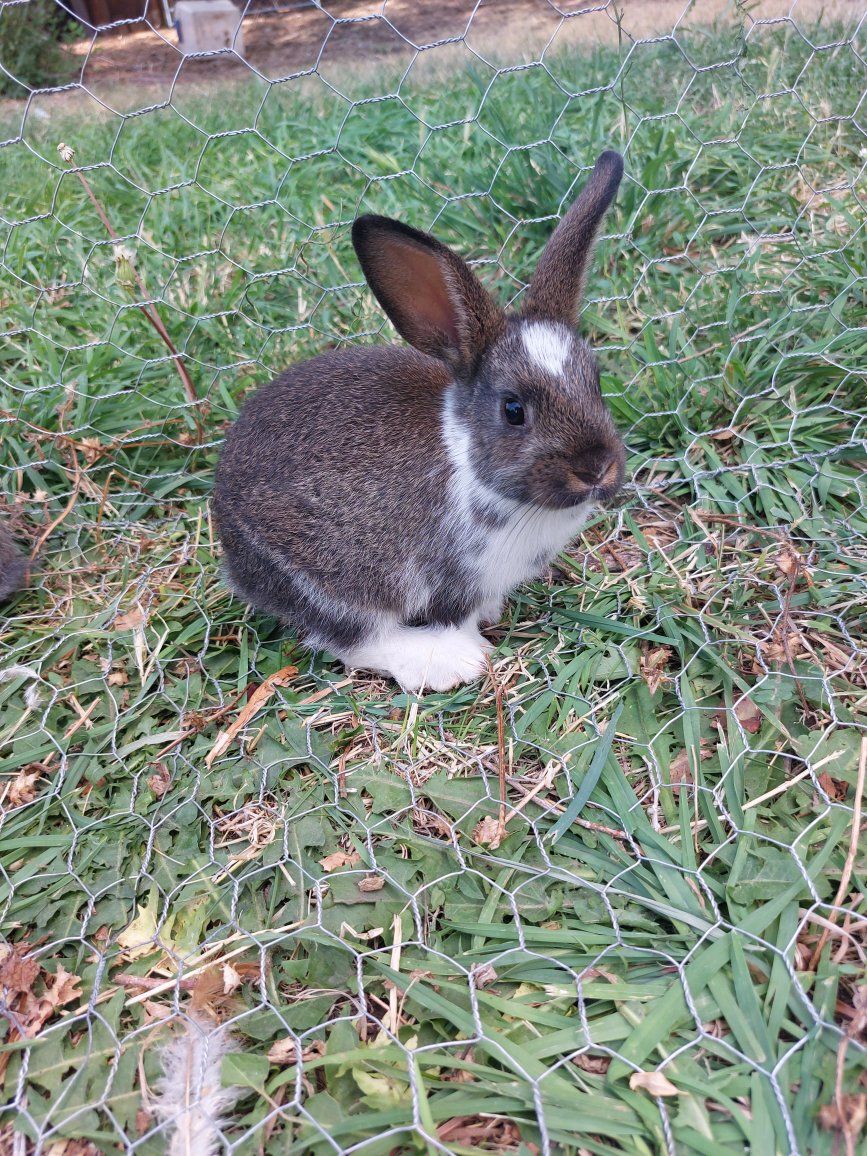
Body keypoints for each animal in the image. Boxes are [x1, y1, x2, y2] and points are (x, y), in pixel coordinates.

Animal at [214, 150, 626, 693]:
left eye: (596, 381)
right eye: (513, 410)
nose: (597, 467)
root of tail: (227, 534)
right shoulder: (451, 580)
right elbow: (450, 617)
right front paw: (469, 649)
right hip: (327, 576)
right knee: (351, 637)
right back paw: (444, 664)